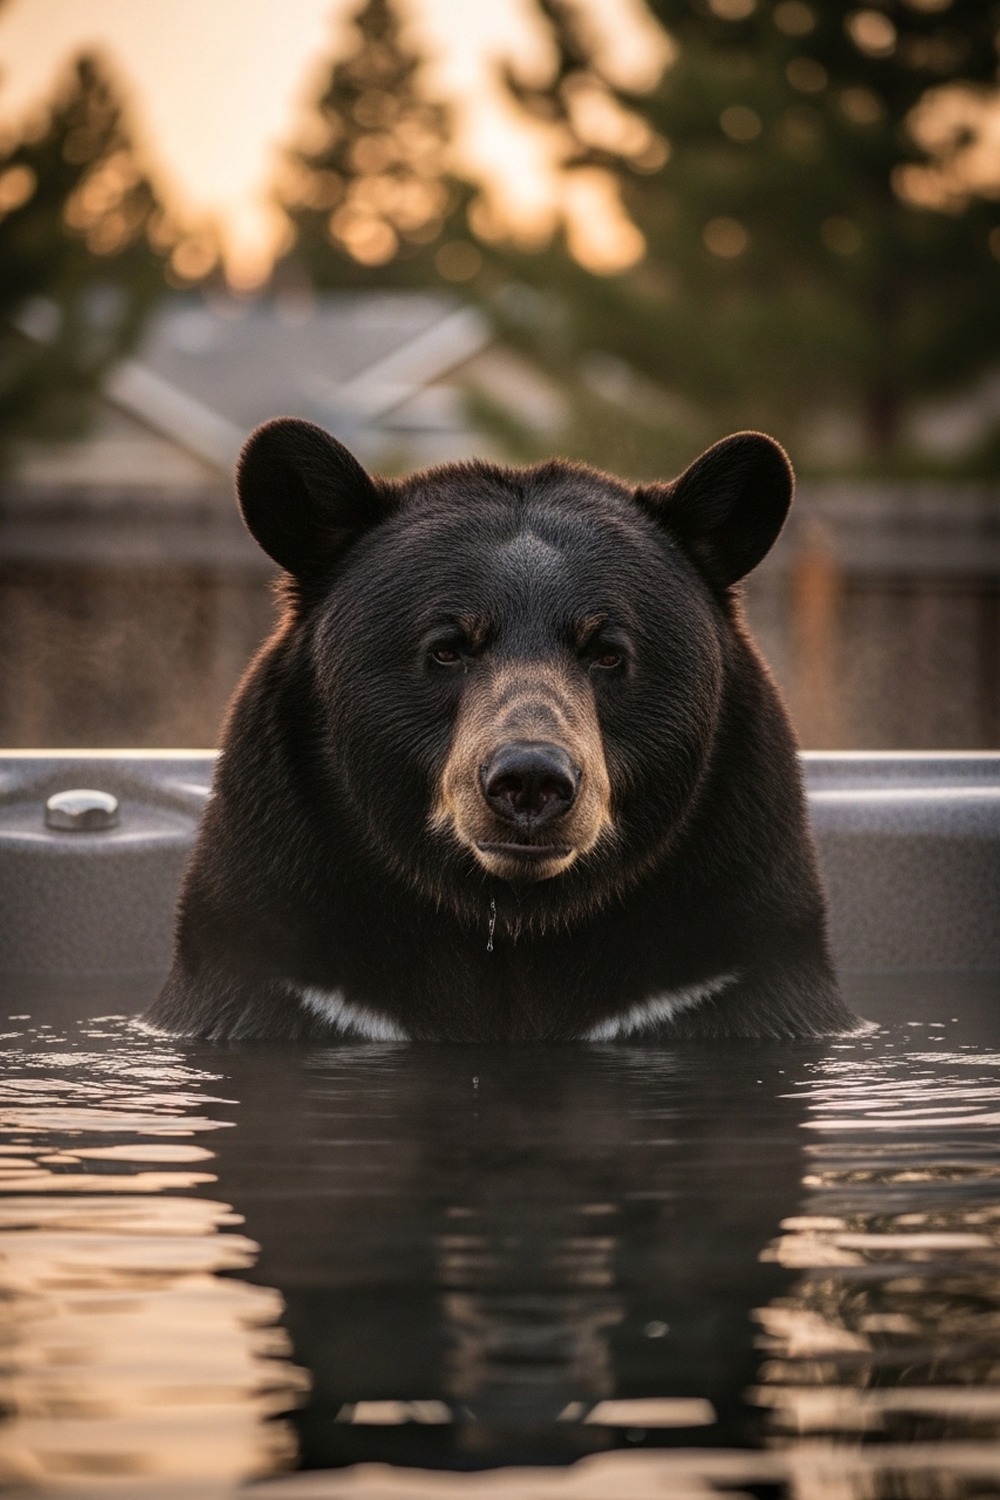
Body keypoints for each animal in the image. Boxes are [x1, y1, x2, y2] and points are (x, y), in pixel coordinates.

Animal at [148, 418, 860, 1043]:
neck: (514, 924)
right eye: (446, 649)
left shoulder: (720, 977)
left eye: (607, 653)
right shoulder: (285, 975)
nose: (531, 781)